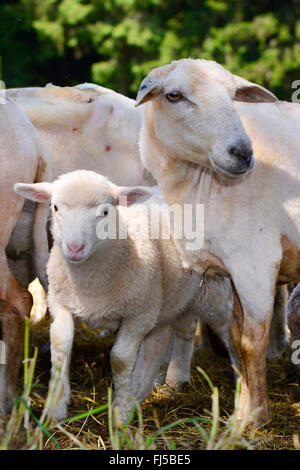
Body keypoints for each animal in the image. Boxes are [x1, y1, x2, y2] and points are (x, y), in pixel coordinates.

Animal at [136, 57, 300, 424]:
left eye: (232, 96)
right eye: (174, 95)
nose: (242, 153)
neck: (201, 184)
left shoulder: (256, 261)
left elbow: (252, 341)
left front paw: (254, 418)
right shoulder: (234, 268)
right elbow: (237, 338)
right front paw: (242, 411)